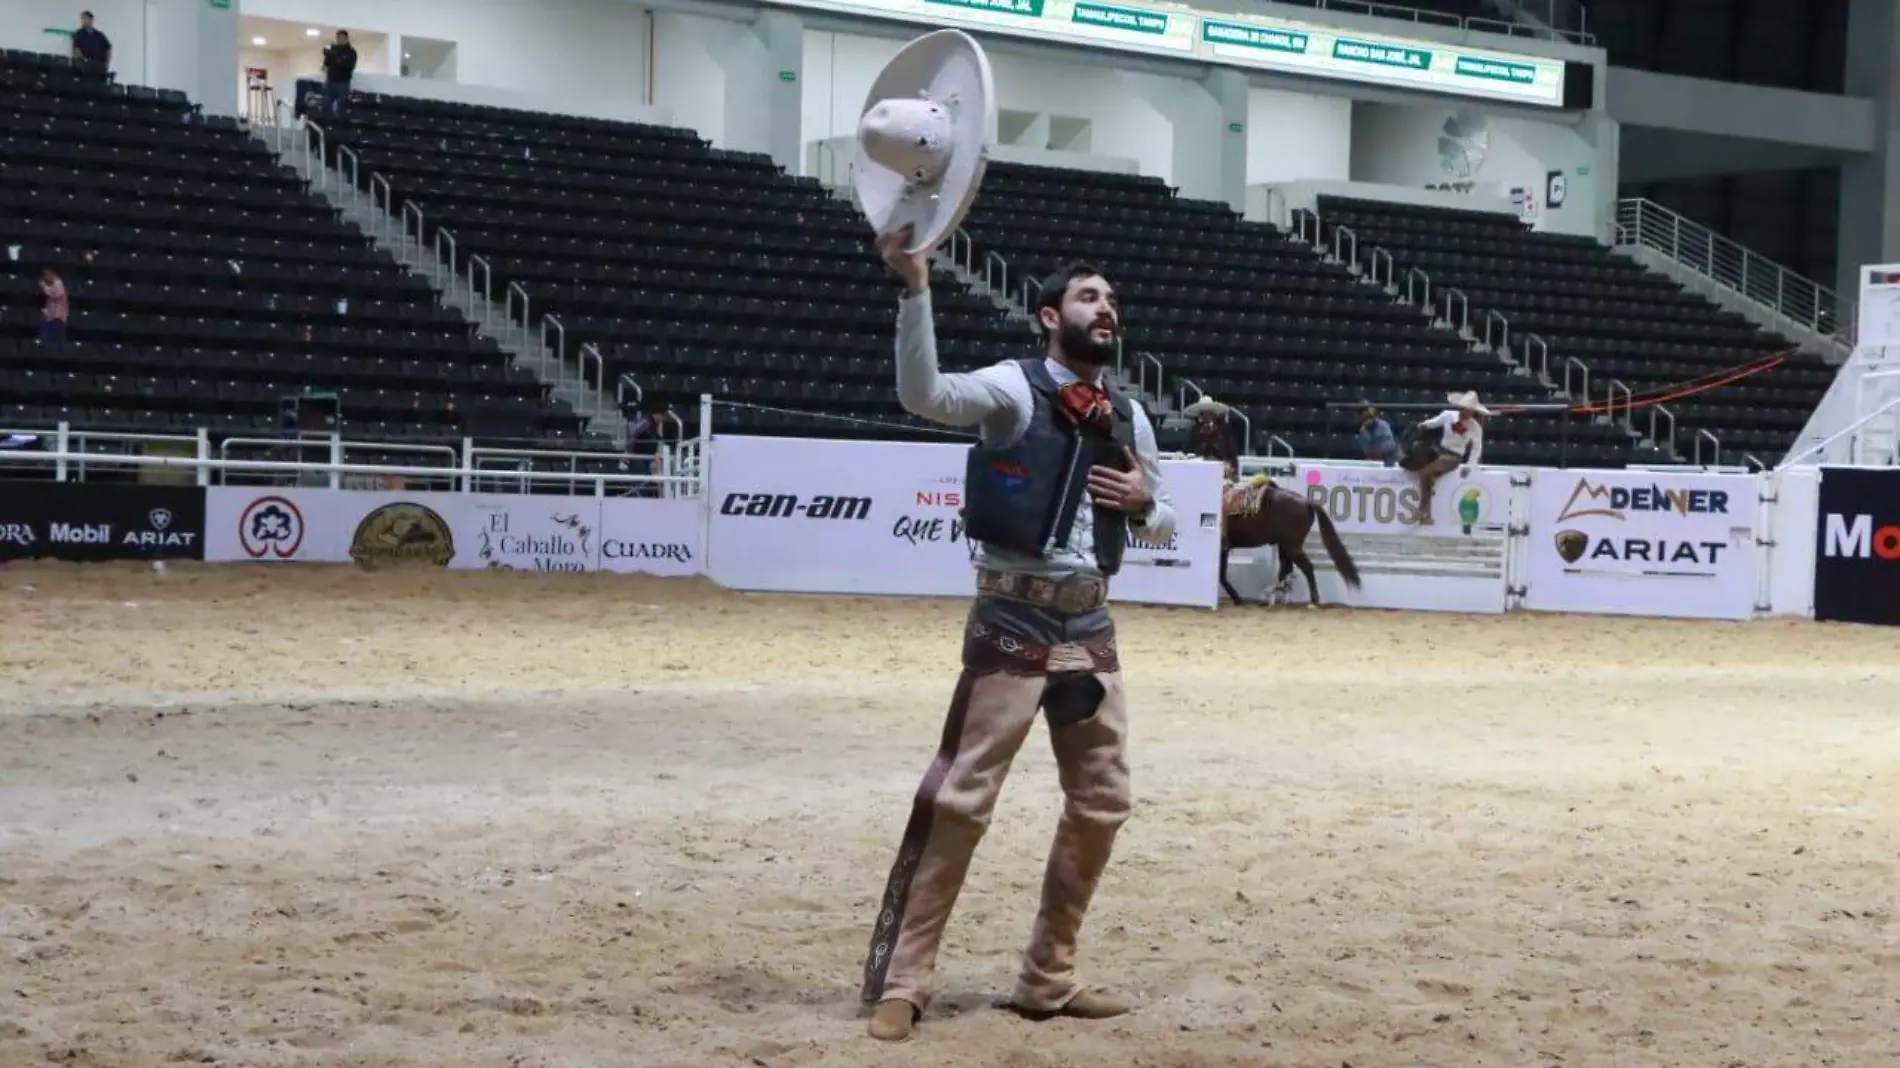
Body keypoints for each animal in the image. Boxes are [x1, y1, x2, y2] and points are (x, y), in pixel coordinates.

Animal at [1223, 475, 1360, 604]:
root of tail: (1307, 503)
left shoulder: (1223, 547)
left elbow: (1222, 574)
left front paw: (1236, 598)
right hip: (1285, 545)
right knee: (1286, 569)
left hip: (1292, 547)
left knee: (1306, 567)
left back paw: (1313, 599)